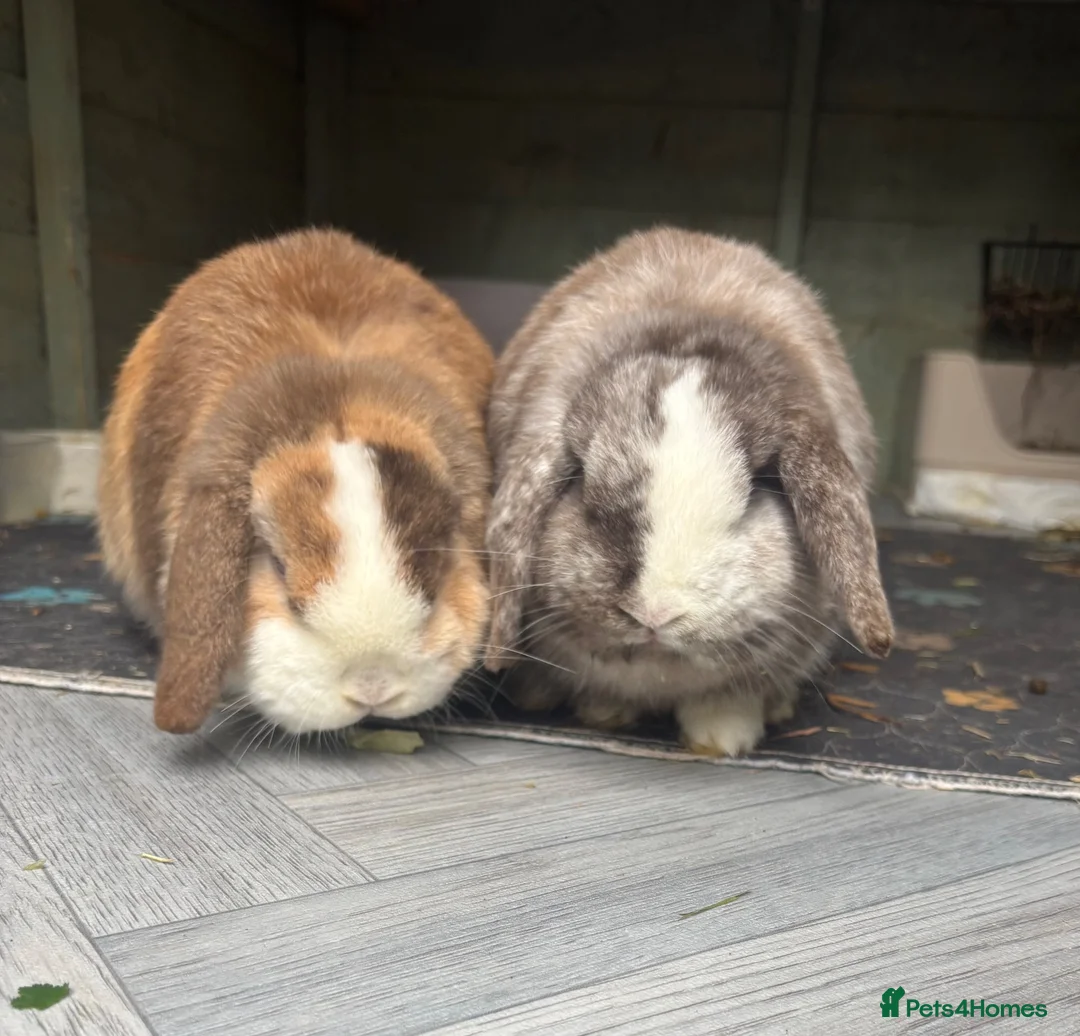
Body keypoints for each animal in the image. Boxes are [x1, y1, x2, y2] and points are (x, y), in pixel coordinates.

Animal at [484, 226, 893, 756]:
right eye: (584, 486)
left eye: (755, 490)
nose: (655, 612)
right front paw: (605, 713)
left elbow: (727, 699)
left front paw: (723, 740)